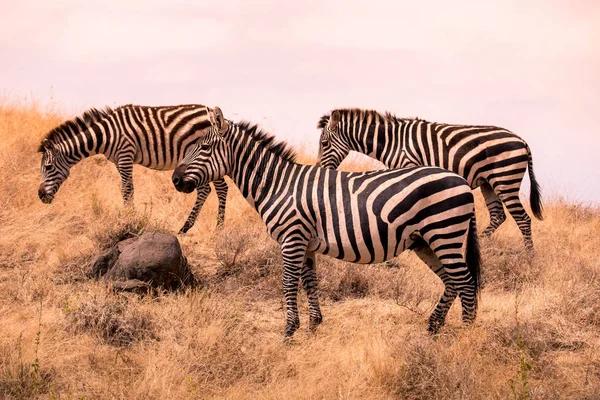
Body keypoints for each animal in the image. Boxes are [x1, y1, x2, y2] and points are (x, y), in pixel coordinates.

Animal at [37, 104, 229, 233]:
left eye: (48, 167)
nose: (40, 195)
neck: (106, 135)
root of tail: (211, 111)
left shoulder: (125, 154)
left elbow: (127, 189)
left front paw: (130, 220)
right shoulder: (118, 161)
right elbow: (126, 189)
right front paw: (130, 217)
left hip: (208, 160)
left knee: (220, 188)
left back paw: (217, 229)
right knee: (208, 189)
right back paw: (188, 228)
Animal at [171, 107, 480, 338]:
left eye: (204, 147)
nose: (174, 179)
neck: (278, 184)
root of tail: (461, 180)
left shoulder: (292, 238)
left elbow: (288, 282)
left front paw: (289, 331)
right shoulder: (305, 242)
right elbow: (310, 282)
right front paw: (313, 325)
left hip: (445, 234)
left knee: (465, 281)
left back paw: (466, 334)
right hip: (425, 241)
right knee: (452, 282)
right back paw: (433, 327)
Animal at [318, 108, 544, 253]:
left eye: (324, 143)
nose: (322, 169)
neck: (392, 141)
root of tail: (522, 140)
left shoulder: (408, 166)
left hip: (505, 179)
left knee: (523, 219)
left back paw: (529, 258)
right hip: (488, 183)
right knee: (498, 216)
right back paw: (481, 246)